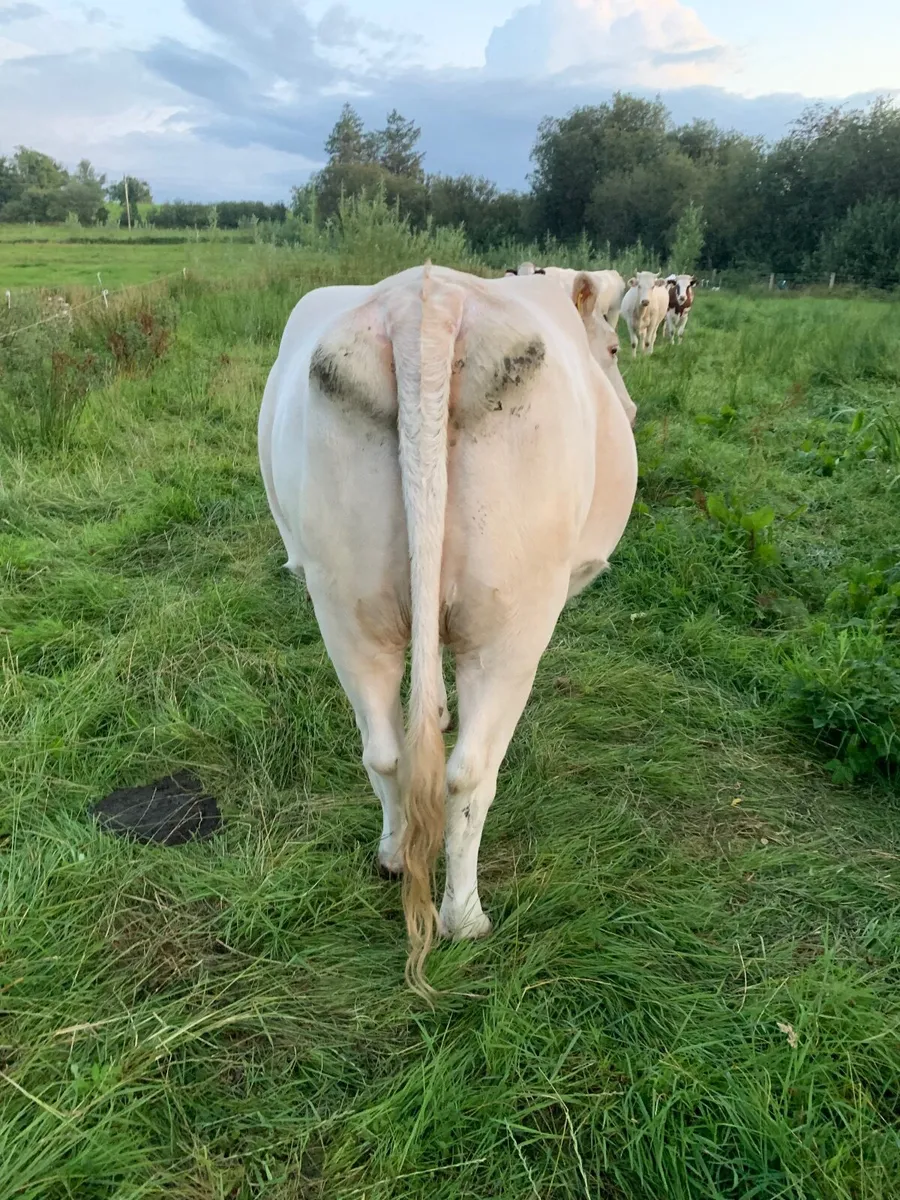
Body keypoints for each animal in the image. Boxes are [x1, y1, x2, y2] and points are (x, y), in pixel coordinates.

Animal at [258, 263, 637, 992]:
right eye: (613, 348)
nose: (630, 412)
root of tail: (424, 301)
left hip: (343, 604)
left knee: (383, 750)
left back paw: (392, 856)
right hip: (511, 620)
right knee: (469, 772)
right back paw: (465, 917)